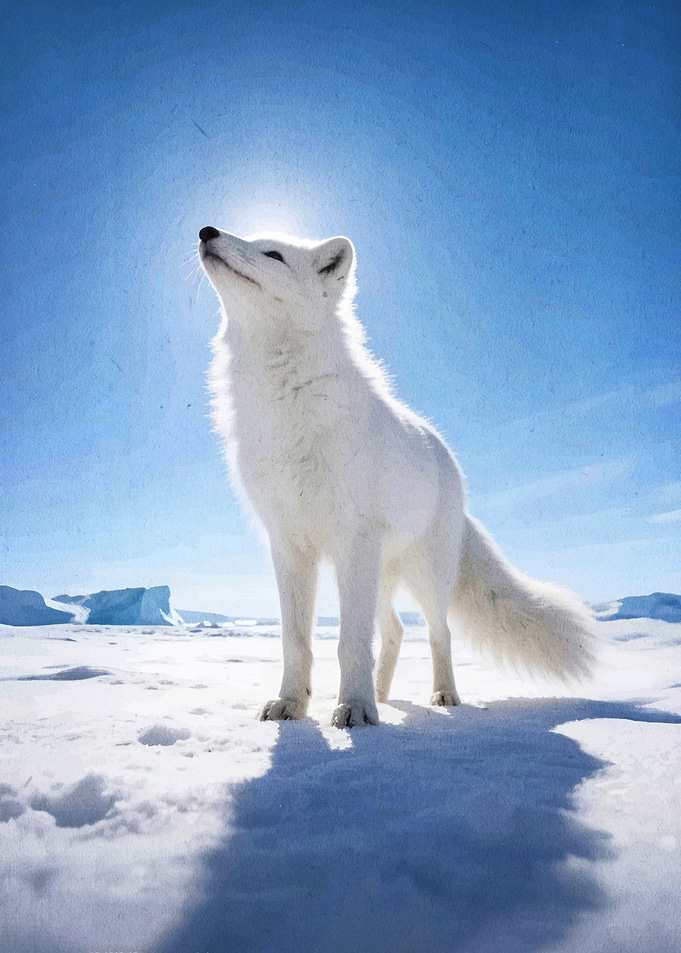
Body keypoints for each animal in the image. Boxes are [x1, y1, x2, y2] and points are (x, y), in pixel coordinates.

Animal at [198, 226, 595, 728]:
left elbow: (350, 642)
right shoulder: (289, 544)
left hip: (420, 576)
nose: (207, 231)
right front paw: (293, 704)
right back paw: (384, 697)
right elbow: (296, 641)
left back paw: (441, 695)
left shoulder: (353, 539)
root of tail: (451, 466)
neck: (287, 402)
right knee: (395, 631)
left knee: (438, 633)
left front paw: (354, 707)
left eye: (273, 254)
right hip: (377, 575)